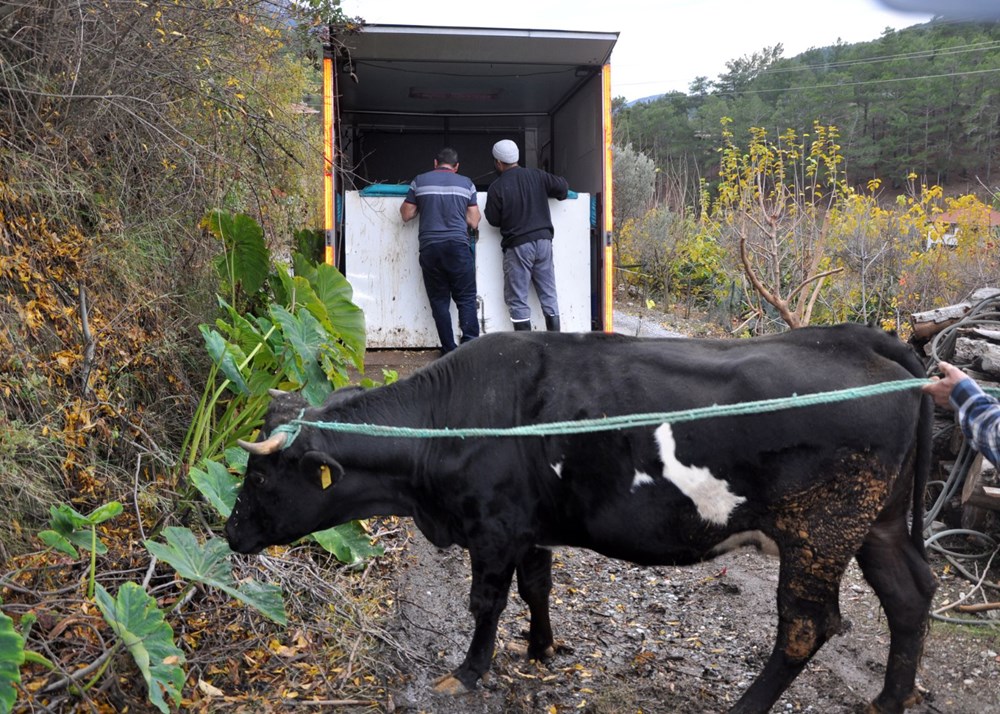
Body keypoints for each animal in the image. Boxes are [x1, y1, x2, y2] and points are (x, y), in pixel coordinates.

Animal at [223, 324, 932, 712]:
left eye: (257, 476)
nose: (229, 533)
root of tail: (860, 341)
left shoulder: (492, 527)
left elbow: (486, 602)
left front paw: (468, 672)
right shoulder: (529, 525)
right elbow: (538, 585)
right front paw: (541, 647)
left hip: (819, 532)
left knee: (807, 626)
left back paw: (745, 706)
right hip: (876, 524)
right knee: (909, 597)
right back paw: (887, 699)